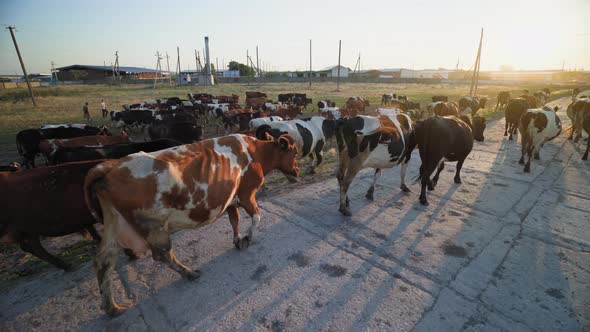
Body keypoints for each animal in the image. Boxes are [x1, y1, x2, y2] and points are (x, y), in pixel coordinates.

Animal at [83, 133, 300, 316]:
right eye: (294, 152)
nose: (297, 171)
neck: (255, 152)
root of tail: (110, 166)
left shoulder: (230, 199)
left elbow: (234, 220)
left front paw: (238, 239)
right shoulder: (247, 194)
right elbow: (256, 217)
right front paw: (247, 238)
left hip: (115, 223)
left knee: (104, 261)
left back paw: (112, 308)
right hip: (154, 227)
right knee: (162, 254)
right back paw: (189, 273)